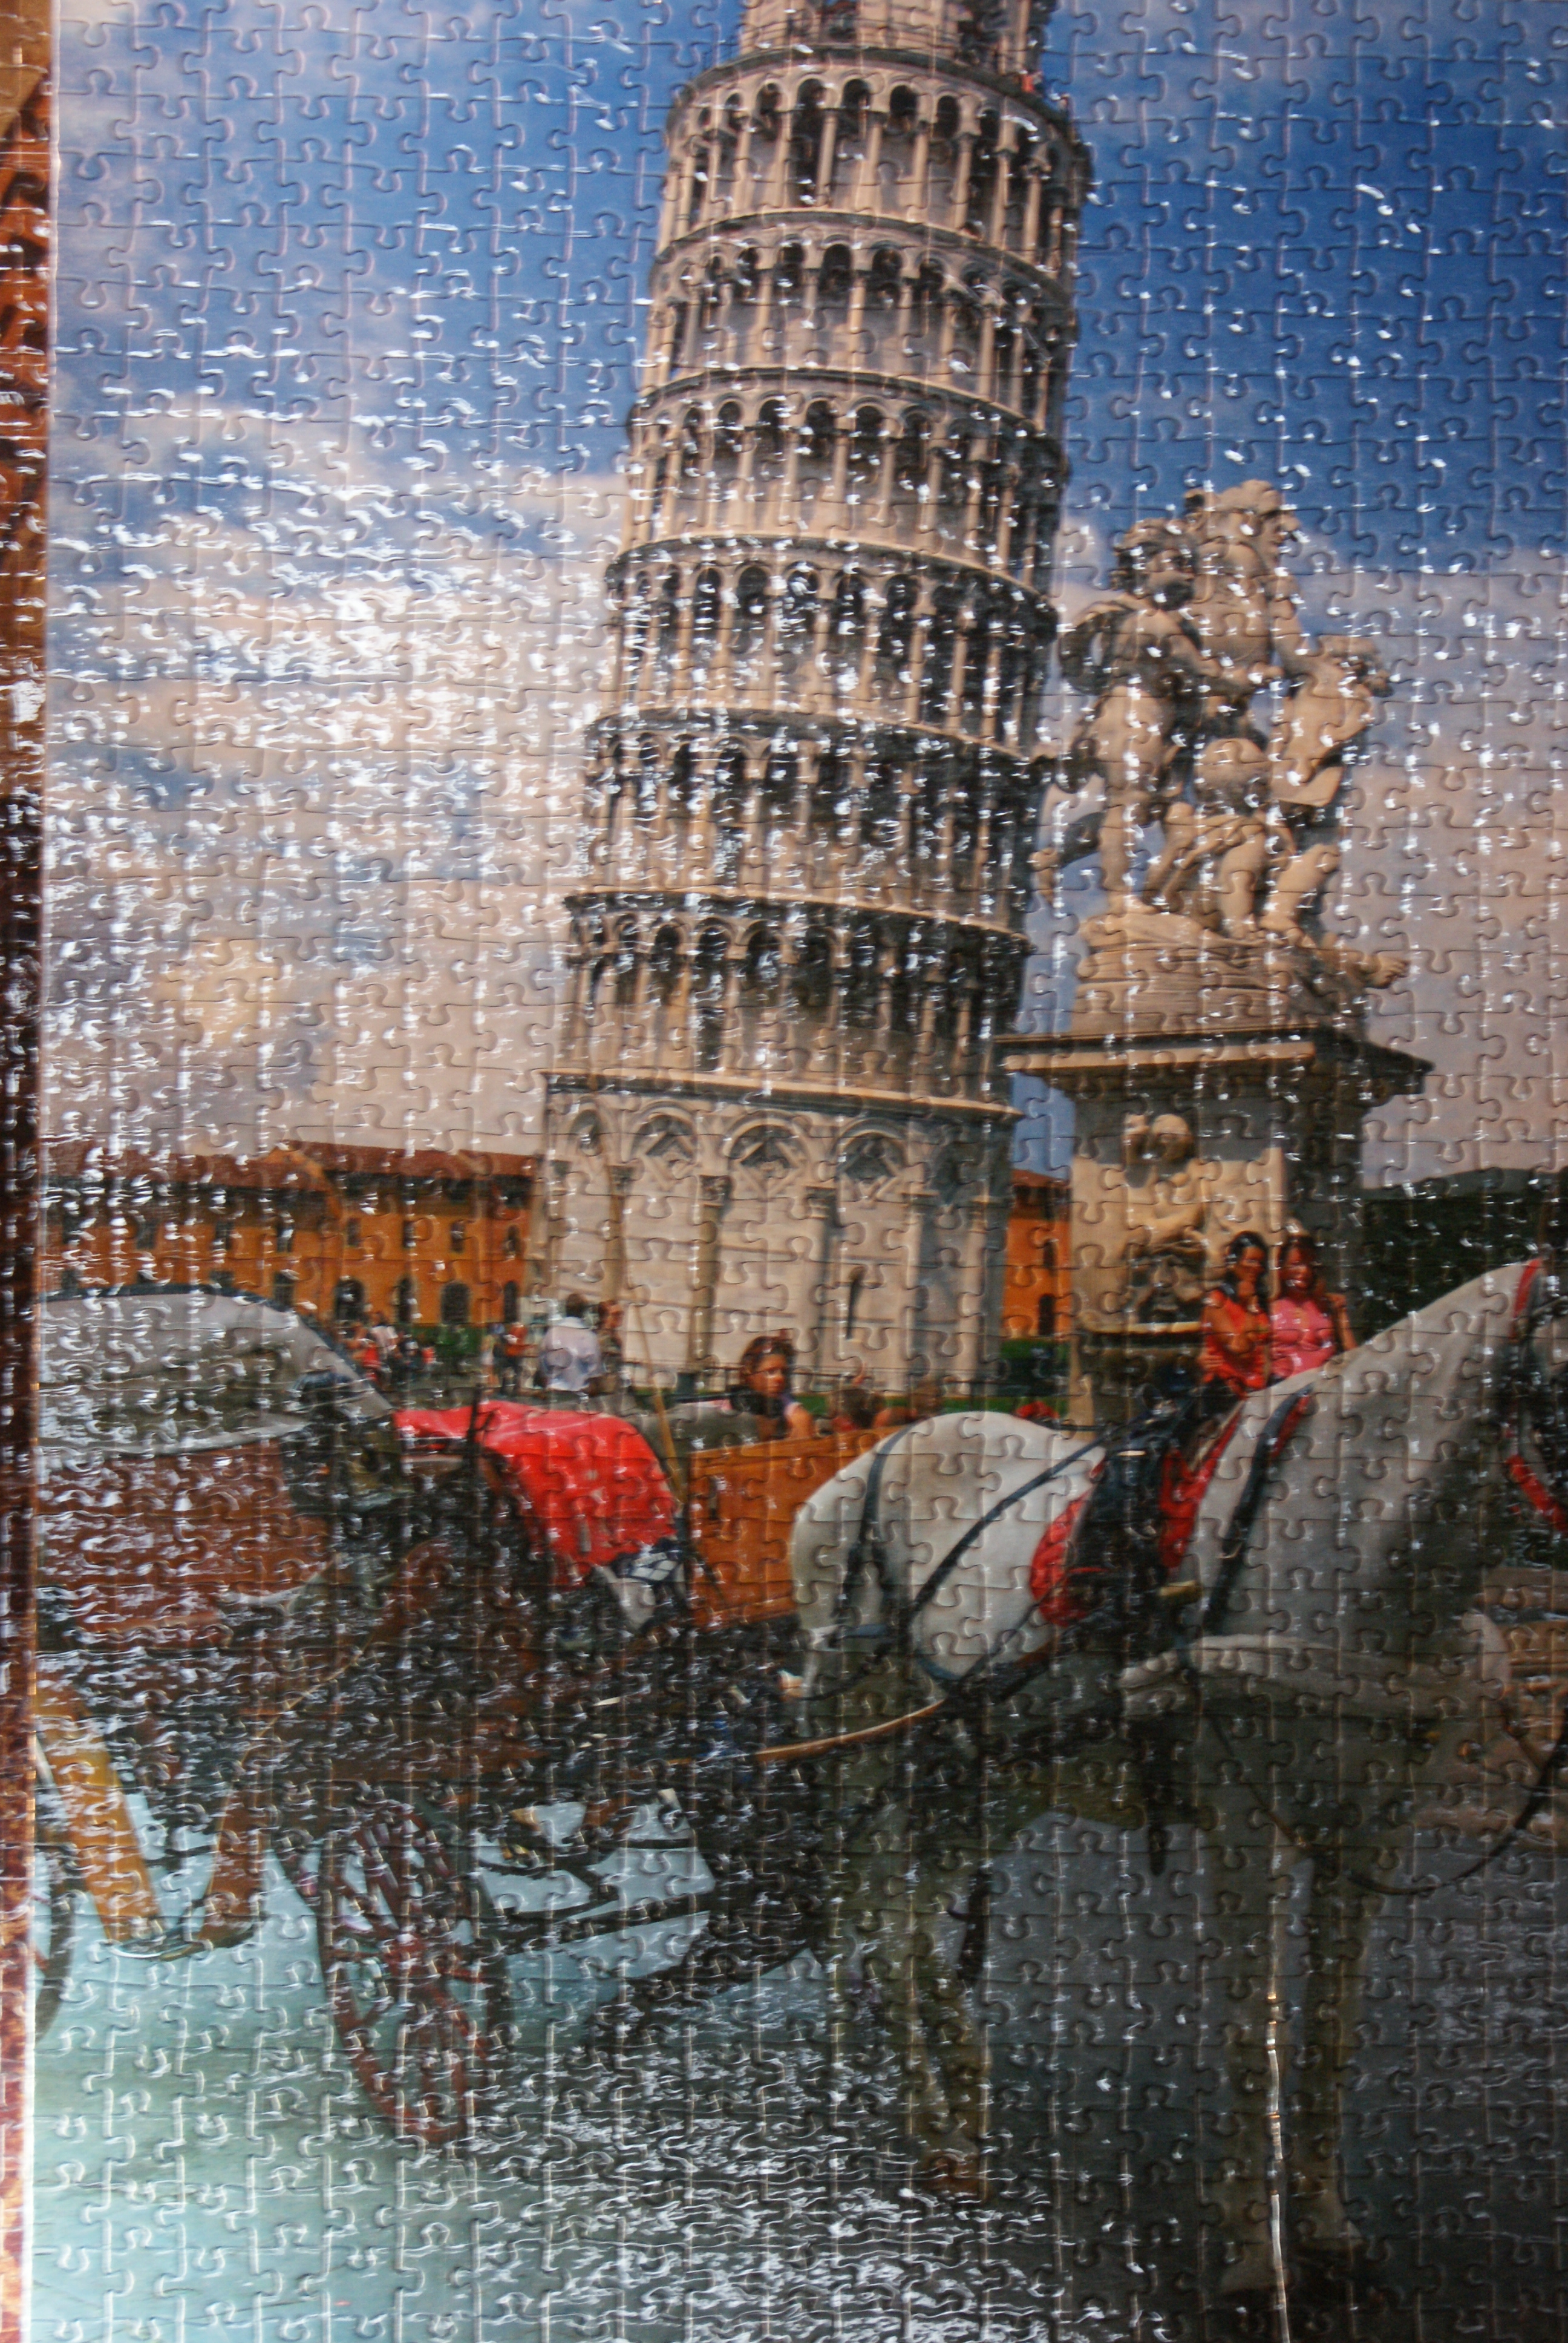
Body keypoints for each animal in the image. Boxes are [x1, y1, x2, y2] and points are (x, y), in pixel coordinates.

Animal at [787, 1262, 1558, 2296]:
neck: (1346, 1523)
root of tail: (859, 1461)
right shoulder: (1245, 1826)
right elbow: (1243, 2031)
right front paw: (1249, 2251)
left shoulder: (1370, 1830)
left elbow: (1331, 2035)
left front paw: (1322, 2222)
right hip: (864, 1741)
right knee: (867, 1913)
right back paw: (920, 2117)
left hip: (988, 1766)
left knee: (905, 1917)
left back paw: (959, 2101)